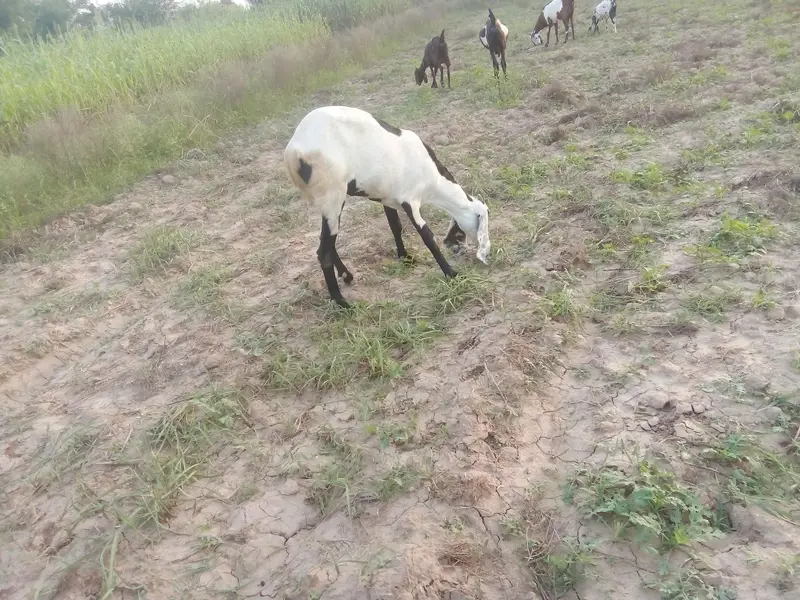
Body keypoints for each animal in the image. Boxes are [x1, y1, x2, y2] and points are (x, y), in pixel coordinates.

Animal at [284, 105, 491, 308]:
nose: (457, 249)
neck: (434, 178)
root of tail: (294, 153)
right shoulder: (410, 200)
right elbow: (427, 237)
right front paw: (451, 274)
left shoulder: (388, 198)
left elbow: (395, 226)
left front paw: (405, 258)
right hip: (332, 196)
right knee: (324, 251)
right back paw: (342, 303)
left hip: (329, 203)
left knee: (328, 243)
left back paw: (346, 276)